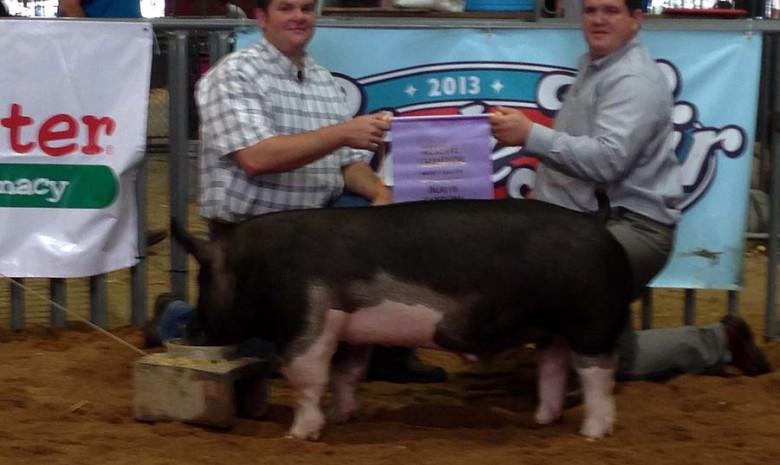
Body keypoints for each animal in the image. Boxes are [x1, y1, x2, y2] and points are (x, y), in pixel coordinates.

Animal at [171, 197, 632, 442]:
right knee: (553, 366)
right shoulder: (352, 328)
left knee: (597, 375)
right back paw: (541, 420)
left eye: (204, 276)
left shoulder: (309, 321)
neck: (255, 266)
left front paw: (298, 435)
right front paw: (342, 418)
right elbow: (347, 374)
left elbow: (307, 377)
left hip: (591, 322)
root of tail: (595, 220)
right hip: (554, 329)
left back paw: (593, 433)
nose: (189, 330)